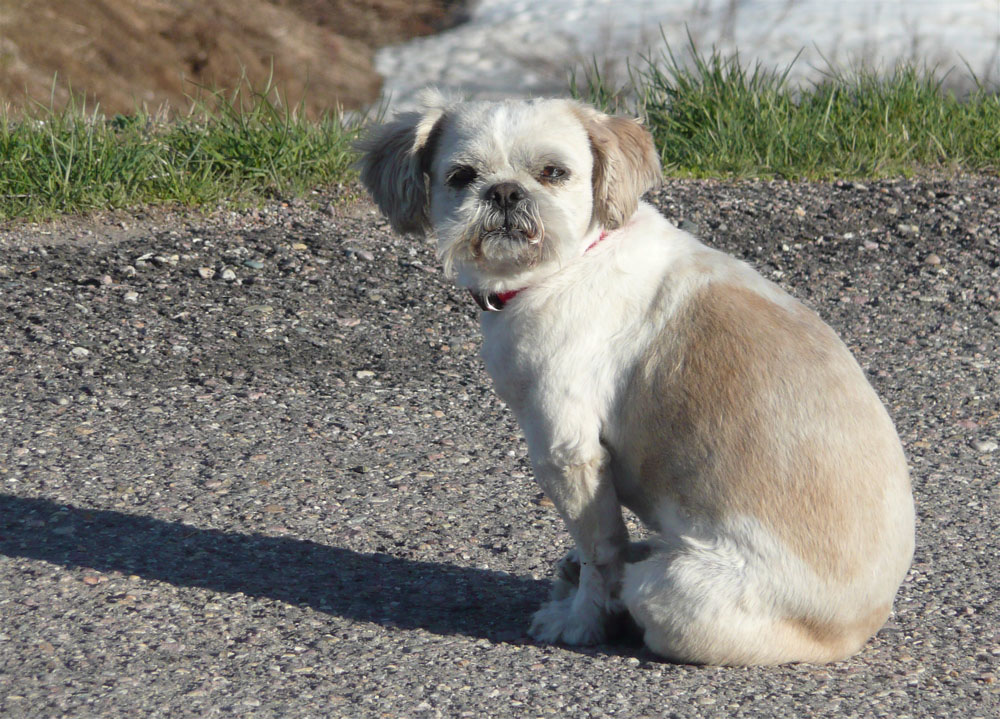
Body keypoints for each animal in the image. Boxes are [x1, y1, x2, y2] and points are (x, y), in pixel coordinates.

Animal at [358, 93, 916, 668]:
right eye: (462, 176)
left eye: (554, 172)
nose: (506, 192)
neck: (568, 265)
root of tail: (859, 626)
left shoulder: (567, 453)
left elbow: (600, 551)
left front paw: (581, 620)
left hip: (671, 591)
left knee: (636, 583)